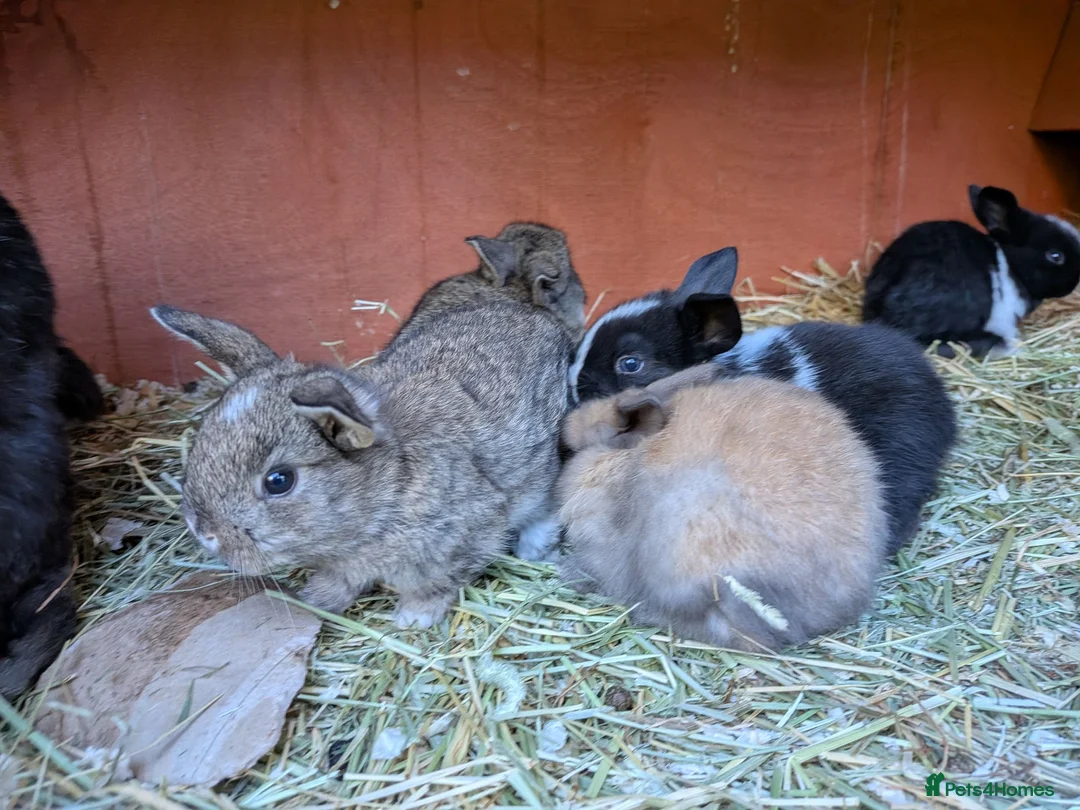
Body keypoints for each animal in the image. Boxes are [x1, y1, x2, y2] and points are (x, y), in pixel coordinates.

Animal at [151, 239, 579, 629]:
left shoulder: (466, 536)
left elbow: (437, 584)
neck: (386, 488)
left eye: (279, 481)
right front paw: (314, 601)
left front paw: (412, 619)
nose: (204, 532)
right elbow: (338, 581)